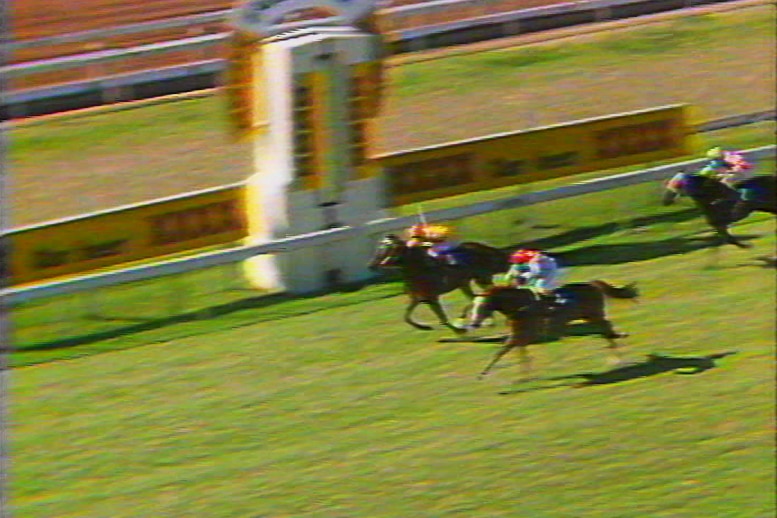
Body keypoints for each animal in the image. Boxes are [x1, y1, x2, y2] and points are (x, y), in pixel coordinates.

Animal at [368, 235, 510, 336]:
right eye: (379, 247)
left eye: (390, 248)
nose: (372, 266)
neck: (420, 270)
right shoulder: (418, 298)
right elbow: (407, 316)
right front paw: (424, 327)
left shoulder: (432, 297)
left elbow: (442, 316)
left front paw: (459, 330)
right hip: (465, 283)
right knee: (476, 297)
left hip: (482, 278)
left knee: (485, 295)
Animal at [466, 282, 636, 380]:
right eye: (474, 306)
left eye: (483, 306)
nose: (474, 323)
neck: (521, 306)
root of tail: (591, 284)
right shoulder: (517, 336)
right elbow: (503, 353)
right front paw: (524, 376)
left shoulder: (526, 335)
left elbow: (508, 351)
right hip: (590, 316)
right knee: (604, 329)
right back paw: (616, 350)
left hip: (594, 314)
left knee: (606, 328)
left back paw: (617, 355)